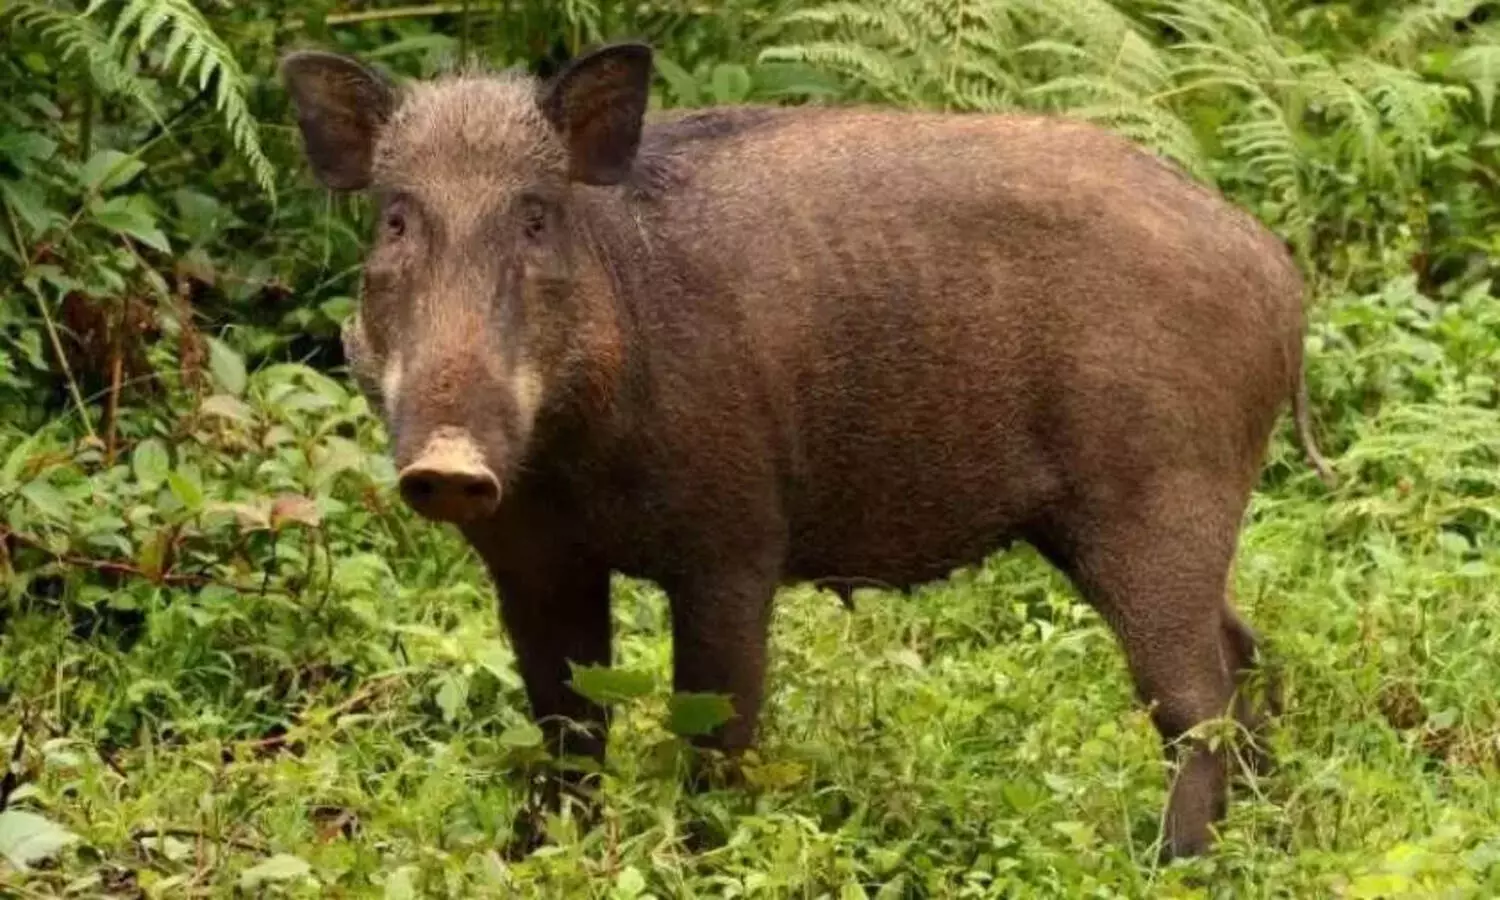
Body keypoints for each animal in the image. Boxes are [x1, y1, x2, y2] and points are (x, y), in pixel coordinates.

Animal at [279, 41, 1333, 861]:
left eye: (535, 217)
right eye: (395, 219)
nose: (449, 462)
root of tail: (1275, 268)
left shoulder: (736, 546)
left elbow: (717, 727)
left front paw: (701, 858)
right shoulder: (533, 562)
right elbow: (567, 729)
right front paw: (534, 856)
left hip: (1158, 499)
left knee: (1195, 696)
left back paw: (1176, 861)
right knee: (1245, 656)